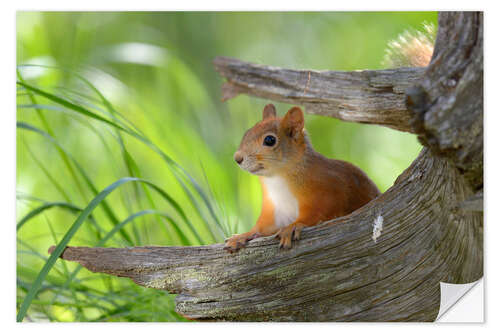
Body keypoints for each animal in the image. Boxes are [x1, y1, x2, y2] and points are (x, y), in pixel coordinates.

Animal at [225, 104, 380, 252]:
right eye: (246, 133)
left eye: (269, 140)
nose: (237, 158)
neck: (277, 179)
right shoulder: (275, 209)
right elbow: (263, 228)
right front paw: (242, 235)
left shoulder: (328, 191)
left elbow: (319, 213)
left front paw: (292, 226)